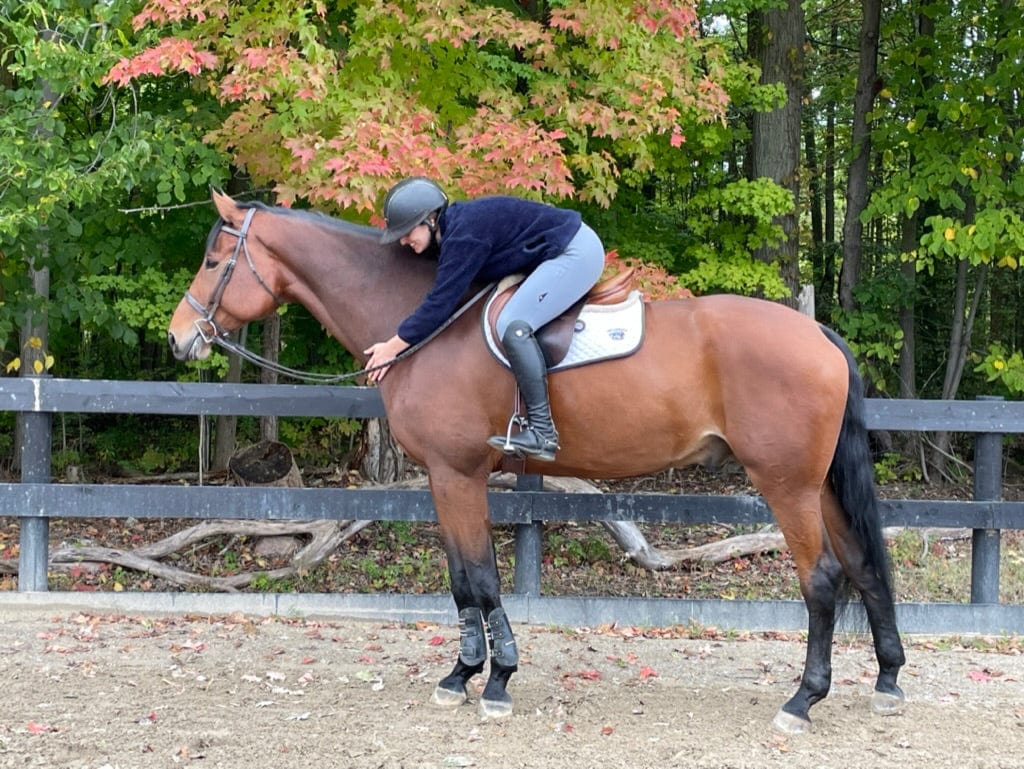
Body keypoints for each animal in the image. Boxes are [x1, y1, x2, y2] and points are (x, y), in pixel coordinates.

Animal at [165, 191, 905, 733]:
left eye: (213, 261)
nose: (178, 339)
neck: (425, 324)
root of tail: (818, 333)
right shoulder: (446, 479)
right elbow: (462, 580)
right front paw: (461, 675)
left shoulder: (456, 474)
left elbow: (482, 579)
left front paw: (495, 680)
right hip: (821, 485)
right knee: (866, 568)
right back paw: (888, 680)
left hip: (787, 485)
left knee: (823, 579)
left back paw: (801, 701)